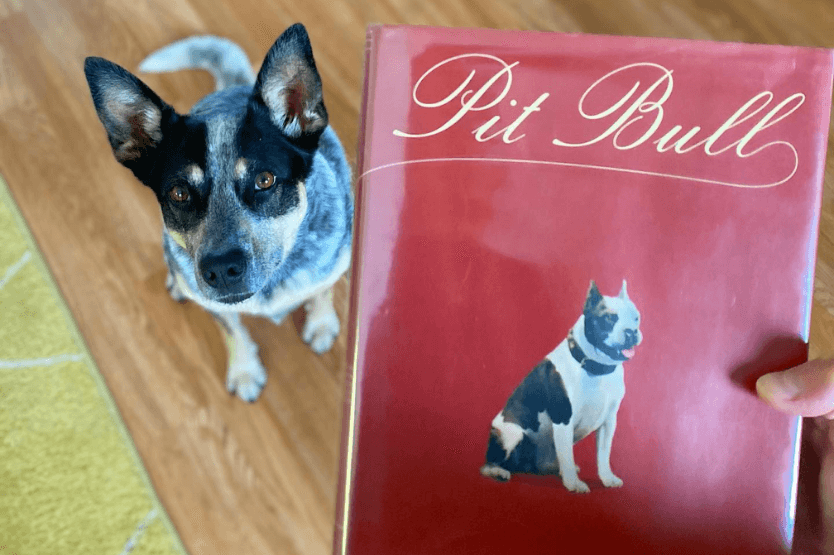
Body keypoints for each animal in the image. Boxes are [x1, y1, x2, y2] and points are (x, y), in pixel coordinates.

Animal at [86, 26, 352, 402]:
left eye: (264, 179)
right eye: (179, 193)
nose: (222, 270)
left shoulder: (335, 261)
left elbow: (323, 291)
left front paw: (321, 323)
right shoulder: (216, 305)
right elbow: (232, 331)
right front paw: (244, 371)